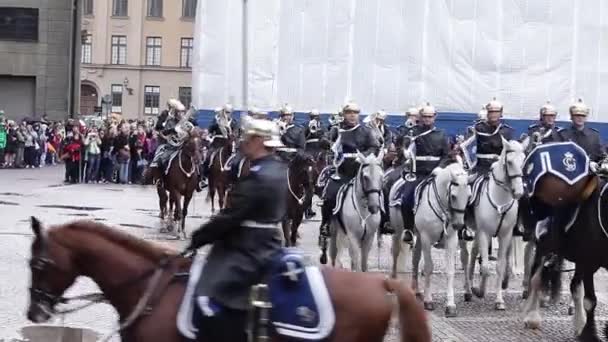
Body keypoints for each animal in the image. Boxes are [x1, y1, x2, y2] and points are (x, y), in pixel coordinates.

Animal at [468, 138, 524, 310]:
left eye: (524, 160)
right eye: (510, 161)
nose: (519, 192)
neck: (499, 198)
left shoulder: (505, 235)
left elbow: (500, 266)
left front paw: (499, 300)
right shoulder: (484, 233)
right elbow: (486, 267)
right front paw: (480, 290)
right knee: (473, 254)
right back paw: (469, 287)